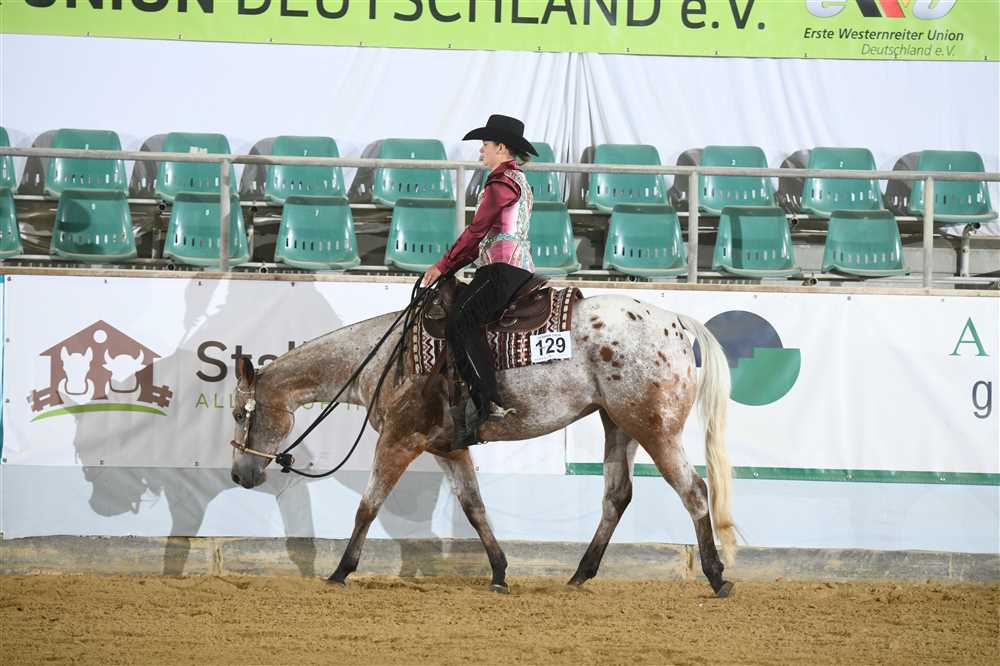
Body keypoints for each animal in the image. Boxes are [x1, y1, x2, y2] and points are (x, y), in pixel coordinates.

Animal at [228, 292, 737, 597]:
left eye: (237, 413)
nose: (239, 473)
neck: (387, 357)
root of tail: (675, 321)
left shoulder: (400, 438)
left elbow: (368, 506)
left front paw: (340, 572)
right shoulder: (449, 448)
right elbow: (474, 507)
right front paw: (498, 572)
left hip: (655, 428)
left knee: (694, 492)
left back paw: (717, 576)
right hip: (619, 424)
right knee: (617, 496)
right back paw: (579, 575)